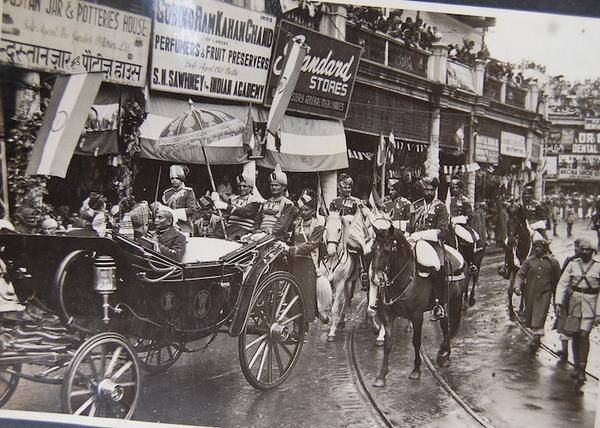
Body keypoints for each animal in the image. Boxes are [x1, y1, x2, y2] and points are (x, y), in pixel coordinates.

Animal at [370, 222, 468, 386]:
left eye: (387, 249)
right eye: (372, 248)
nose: (376, 279)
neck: (403, 279)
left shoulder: (417, 316)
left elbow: (416, 342)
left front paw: (416, 370)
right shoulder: (388, 316)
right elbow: (388, 343)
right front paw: (381, 375)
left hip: (453, 300)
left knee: (446, 324)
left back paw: (444, 355)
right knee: (446, 323)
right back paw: (444, 354)